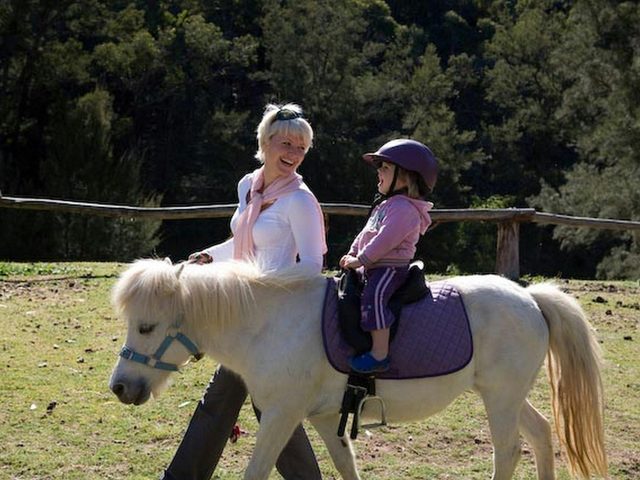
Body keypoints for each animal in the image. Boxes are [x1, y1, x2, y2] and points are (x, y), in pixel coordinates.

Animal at [108, 258, 608, 480]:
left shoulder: (282, 417)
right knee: (541, 435)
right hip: (507, 397)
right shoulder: (326, 418)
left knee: (507, 452)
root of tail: (530, 298)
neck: (270, 324)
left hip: (501, 400)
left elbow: (257, 471)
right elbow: (345, 467)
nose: (120, 387)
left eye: (147, 326)